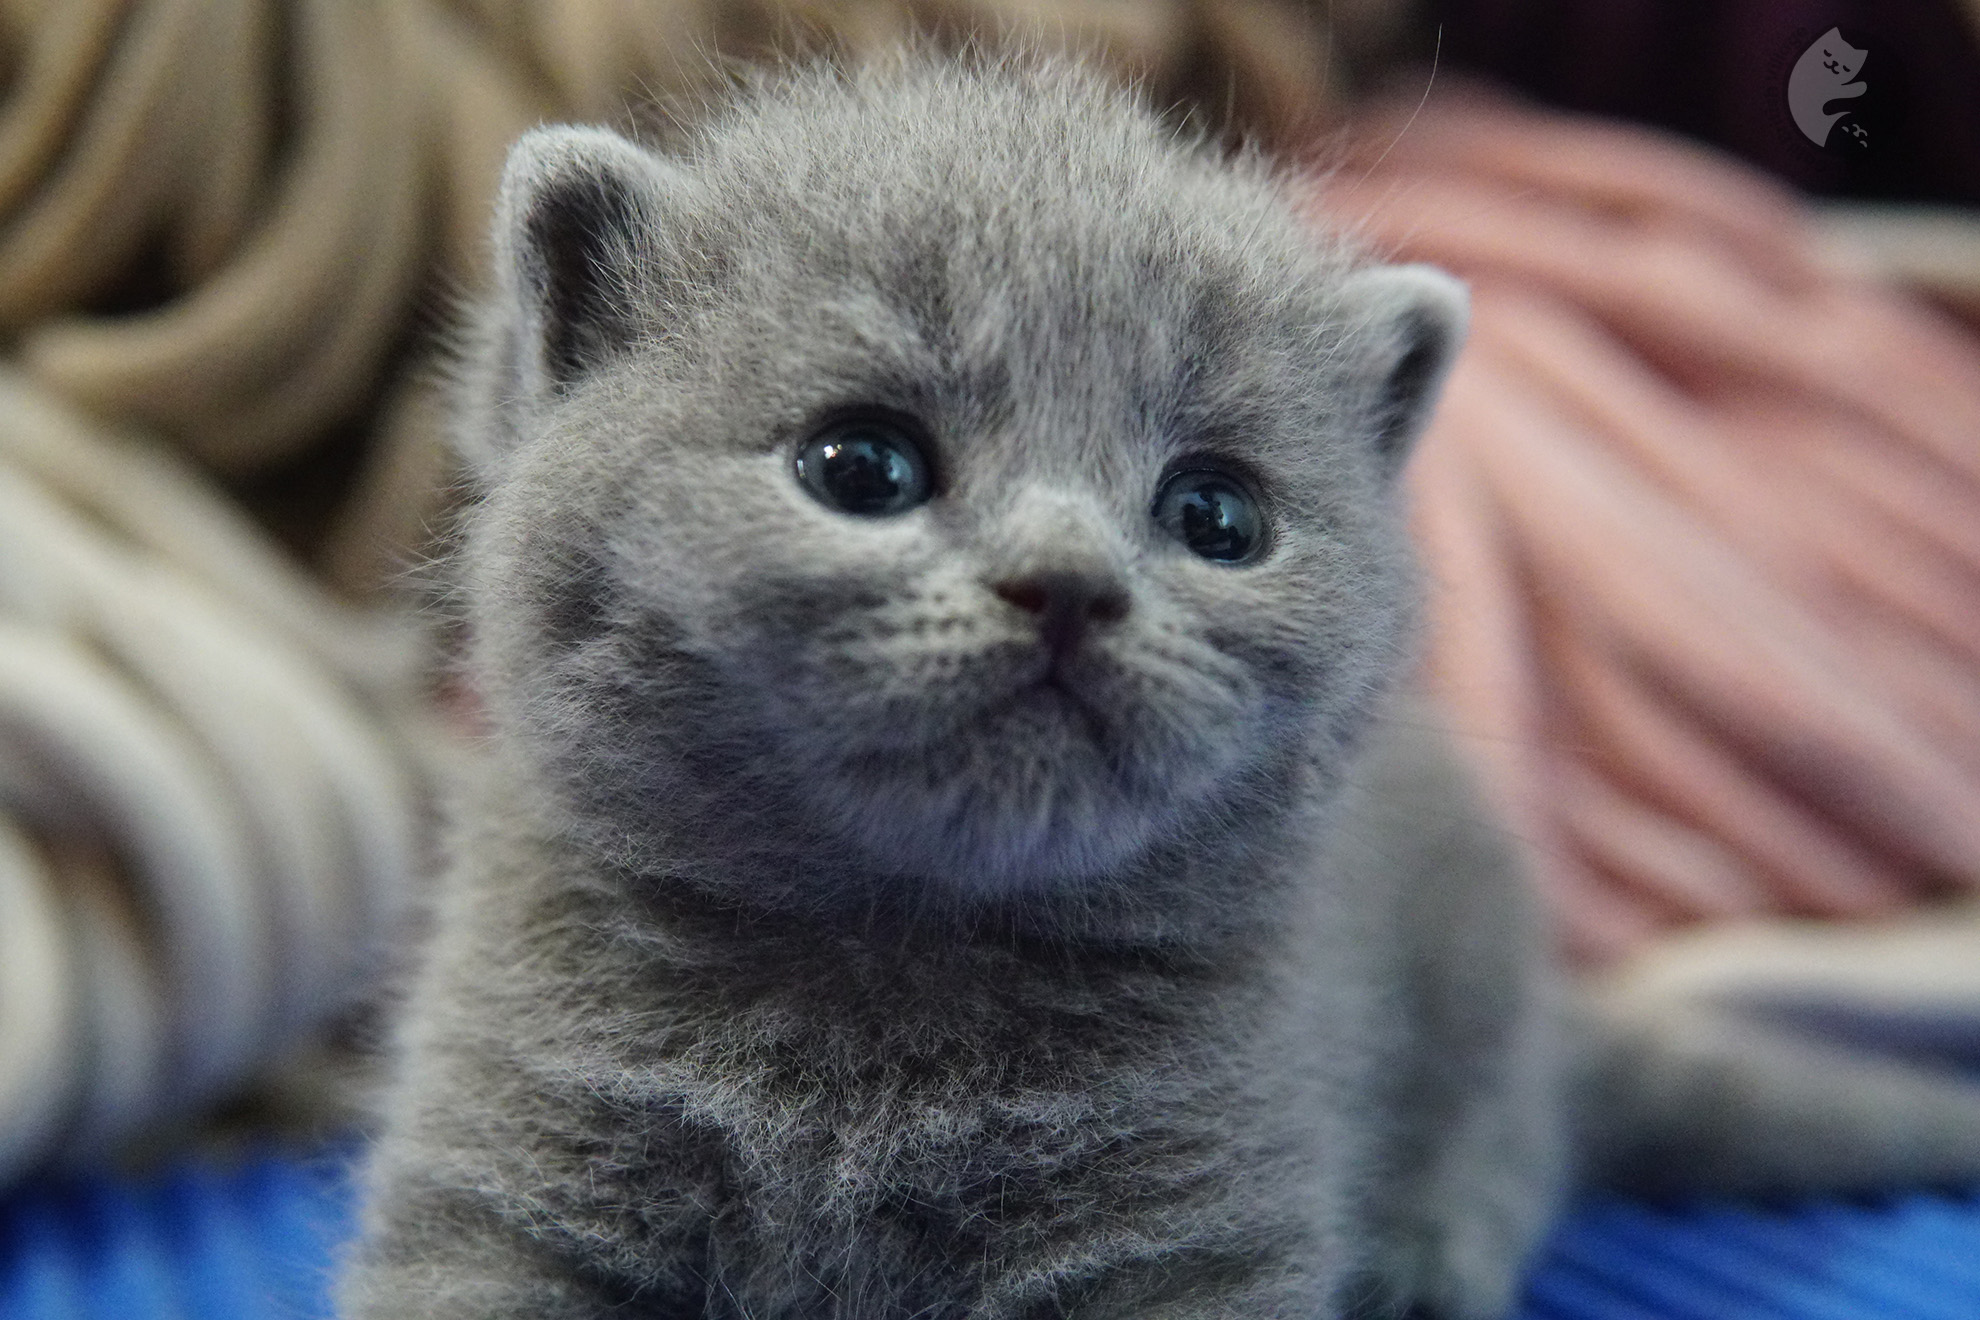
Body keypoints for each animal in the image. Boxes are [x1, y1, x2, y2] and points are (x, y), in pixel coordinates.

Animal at [344, 54, 1980, 1320]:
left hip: (1475, 989)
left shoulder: (1194, 1222)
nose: (1067, 581)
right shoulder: (501, 1179)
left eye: (1216, 516)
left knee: (1510, 1130)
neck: (890, 979)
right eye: (861, 466)